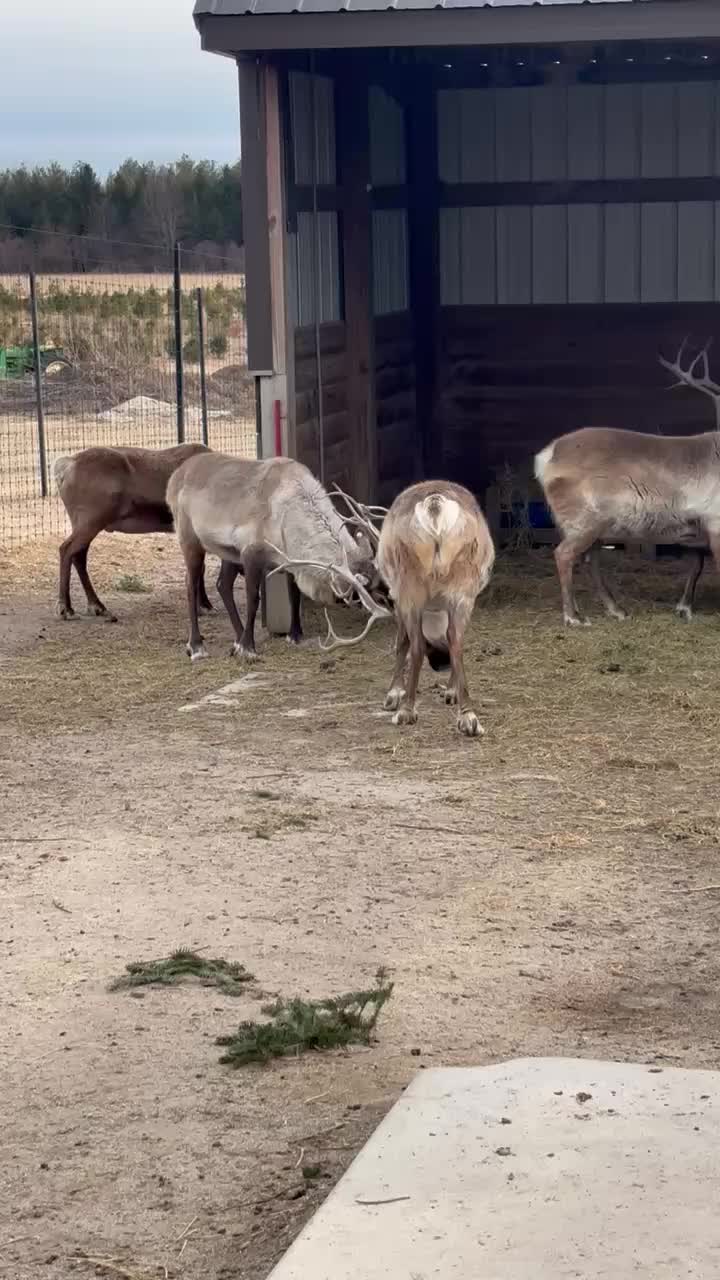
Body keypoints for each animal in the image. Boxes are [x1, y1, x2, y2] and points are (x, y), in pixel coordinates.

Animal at [54, 443, 212, 622]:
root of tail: (66, 466)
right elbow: (199, 568)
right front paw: (204, 605)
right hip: (91, 522)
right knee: (66, 549)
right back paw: (66, 608)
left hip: (83, 524)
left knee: (78, 556)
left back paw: (97, 606)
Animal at [165, 450, 385, 661]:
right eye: (364, 594)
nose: (385, 609)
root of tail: (175, 478)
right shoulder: (250, 552)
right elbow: (253, 599)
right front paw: (248, 648)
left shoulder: (289, 559)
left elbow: (294, 594)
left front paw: (294, 634)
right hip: (190, 540)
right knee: (191, 584)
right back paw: (197, 647)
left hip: (227, 552)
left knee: (223, 584)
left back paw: (236, 639)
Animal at [272, 480, 495, 738]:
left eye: (385, 596)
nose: (441, 663)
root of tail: (435, 505)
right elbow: (453, 639)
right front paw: (451, 691)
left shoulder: (397, 598)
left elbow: (402, 643)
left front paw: (394, 694)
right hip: (462, 584)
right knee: (455, 641)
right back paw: (468, 718)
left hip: (409, 583)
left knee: (416, 644)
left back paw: (406, 711)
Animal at [535, 338, 720, 626]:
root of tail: (547, 456)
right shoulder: (715, 521)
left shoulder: (697, 527)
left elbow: (696, 565)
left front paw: (684, 607)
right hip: (584, 520)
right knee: (564, 554)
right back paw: (573, 617)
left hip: (596, 525)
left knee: (590, 560)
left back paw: (616, 609)